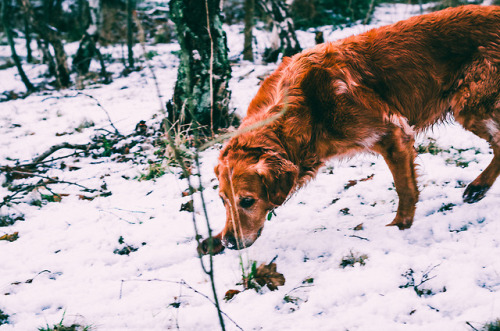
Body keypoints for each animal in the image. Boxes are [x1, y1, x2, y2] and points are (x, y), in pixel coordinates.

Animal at [199, 5, 500, 255]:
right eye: (223, 200)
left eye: (247, 201)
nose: (229, 242)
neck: (308, 108)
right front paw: (211, 241)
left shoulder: (394, 133)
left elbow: (405, 189)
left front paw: (400, 227)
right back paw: (478, 188)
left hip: (470, 107)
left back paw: (478, 186)